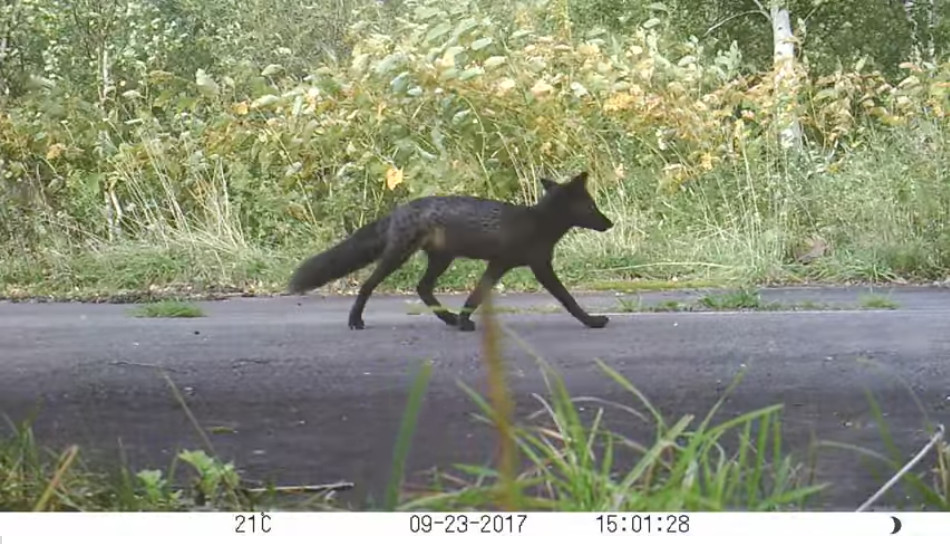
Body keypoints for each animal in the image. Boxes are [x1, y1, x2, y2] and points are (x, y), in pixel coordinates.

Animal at [290, 172, 612, 330]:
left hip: (441, 260)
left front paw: (462, 320)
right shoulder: (533, 266)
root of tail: (399, 209)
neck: (539, 222)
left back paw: (447, 318)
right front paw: (592, 321)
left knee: (422, 288)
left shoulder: (501, 265)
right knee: (368, 285)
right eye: (591, 207)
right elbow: (568, 299)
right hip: (399, 257)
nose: (609, 223)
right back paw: (355, 321)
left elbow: (475, 297)